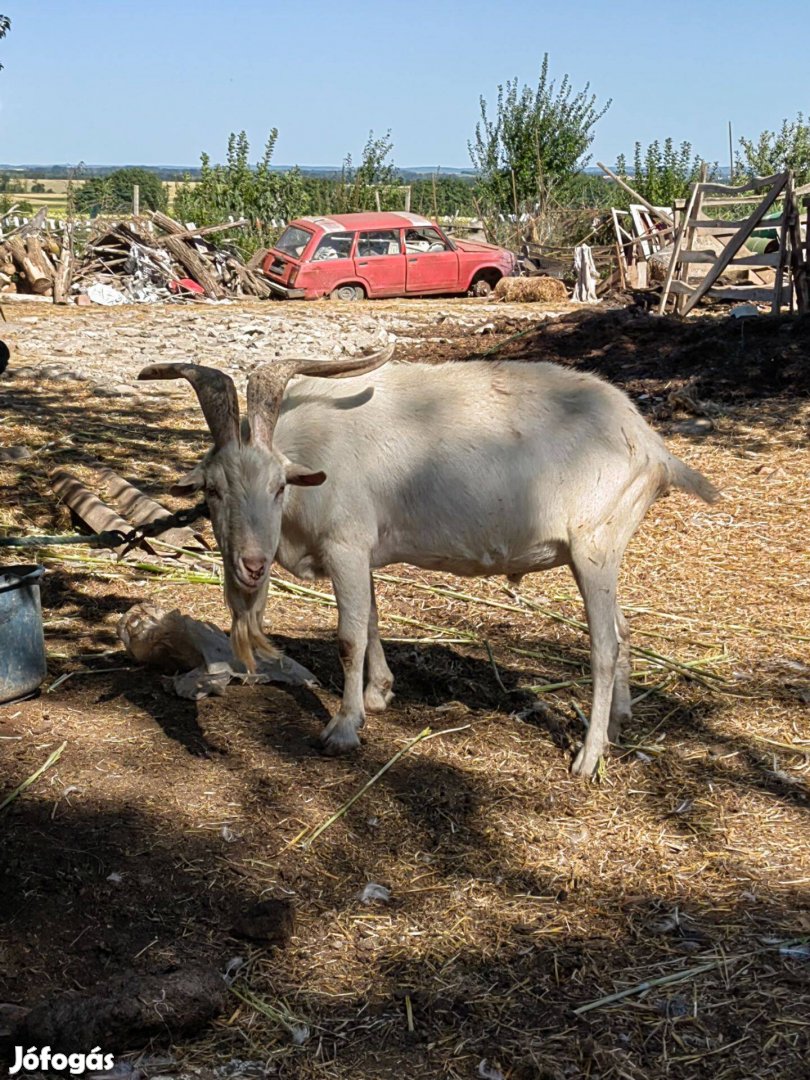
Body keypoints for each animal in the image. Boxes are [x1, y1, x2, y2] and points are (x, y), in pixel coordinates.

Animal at [142, 345, 721, 777]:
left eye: (279, 486)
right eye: (213, 491)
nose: (251, 566)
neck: (310, 455)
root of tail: (652, 445)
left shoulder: (346, 544)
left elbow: (349, 636)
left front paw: (343, 728)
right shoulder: (364, 552)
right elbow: (372, 620)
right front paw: (378, 695)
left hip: (593, 547)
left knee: (604, 645)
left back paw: (589, 756)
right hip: (610, 550)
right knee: (624, 631)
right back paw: (620, 723)